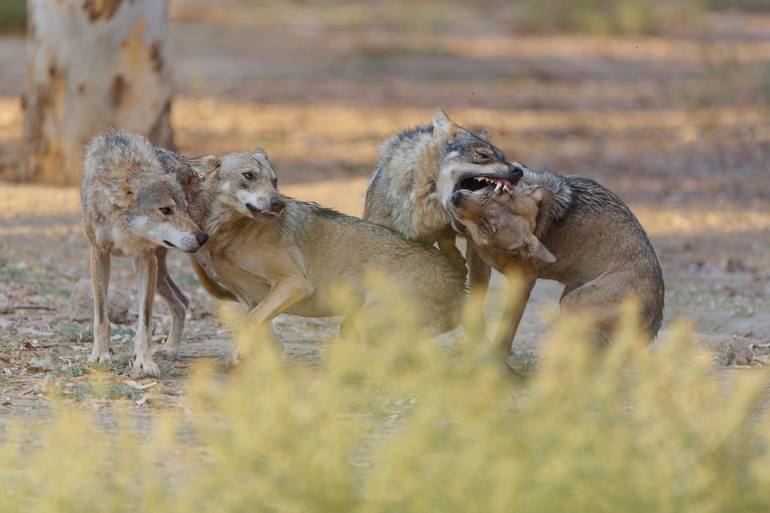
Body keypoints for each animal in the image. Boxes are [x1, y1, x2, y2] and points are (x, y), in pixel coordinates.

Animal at [81, 130, 207, 378]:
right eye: (166, 210)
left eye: (185, 209)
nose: (202, 238)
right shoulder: (98, 253)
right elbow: (101, 315)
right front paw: (101, 355)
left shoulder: (145, 258)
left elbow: (145, 321)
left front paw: (144, 363)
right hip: (159, 274)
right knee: (183, 301)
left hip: (157, 271)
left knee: (182, 303)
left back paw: (170, 349)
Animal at [448, 169, 664, 352]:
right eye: (495, 192)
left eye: (488, 226)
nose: (455, 198)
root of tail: (653, 324)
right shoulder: (477, 261)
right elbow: (476, 307)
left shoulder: (524, 281)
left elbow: (508, 326)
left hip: (571, 302)